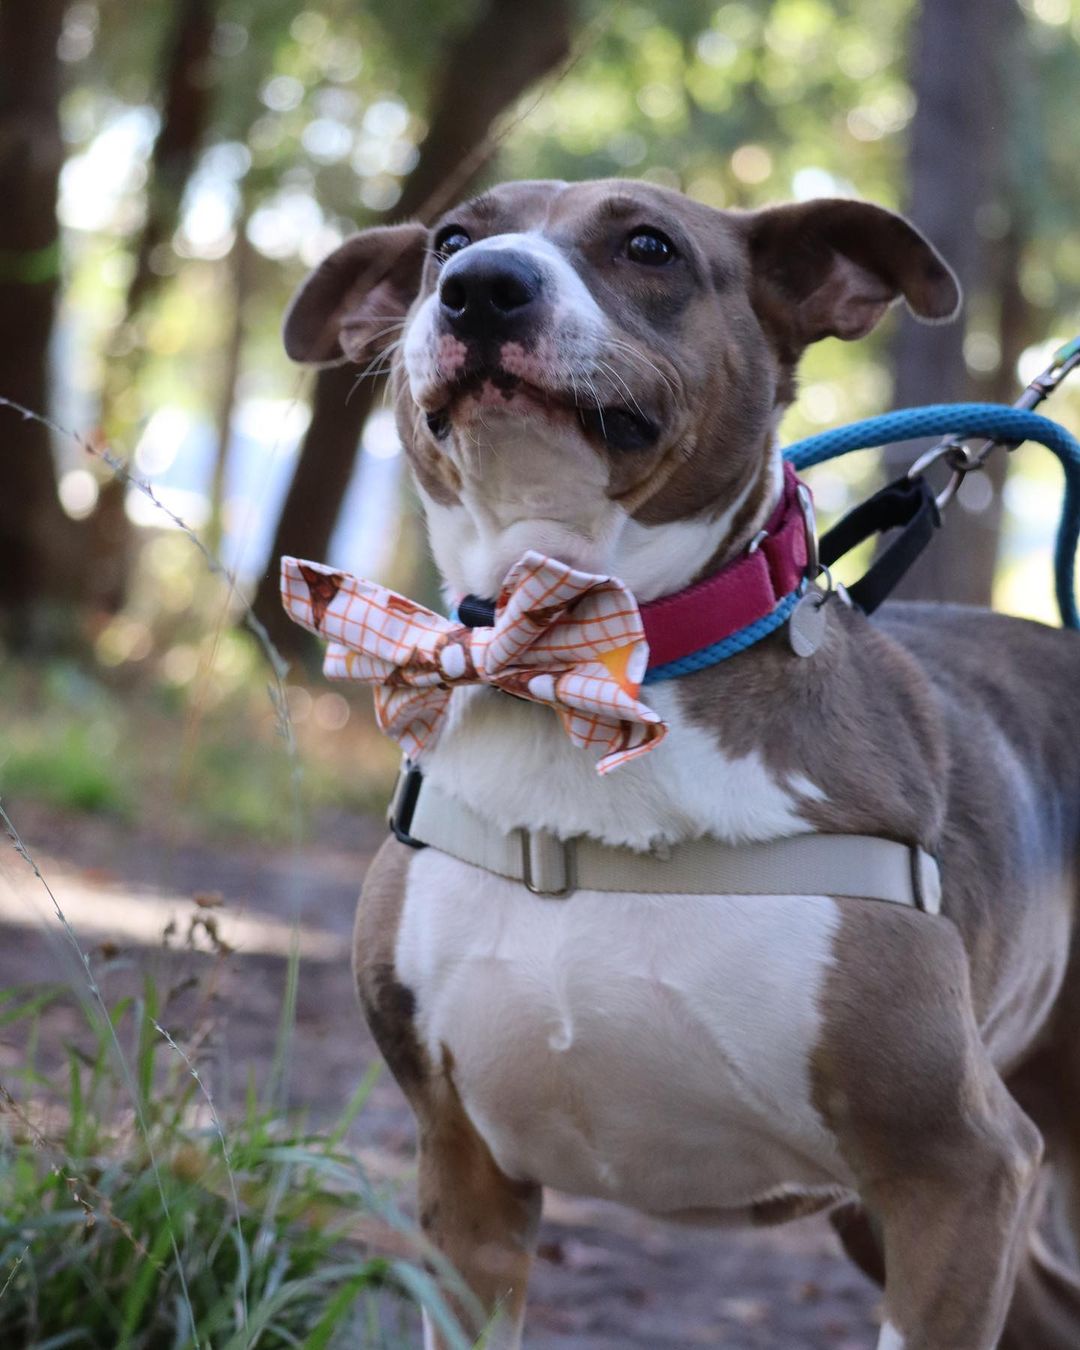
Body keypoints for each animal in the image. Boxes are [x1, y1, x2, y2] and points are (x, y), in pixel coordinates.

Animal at [282, 182, 1080, 1350]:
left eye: (649, 245)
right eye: (452, 240)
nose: (483, 287)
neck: (572, 657)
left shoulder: (961, 1169)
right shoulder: (467, 1181)